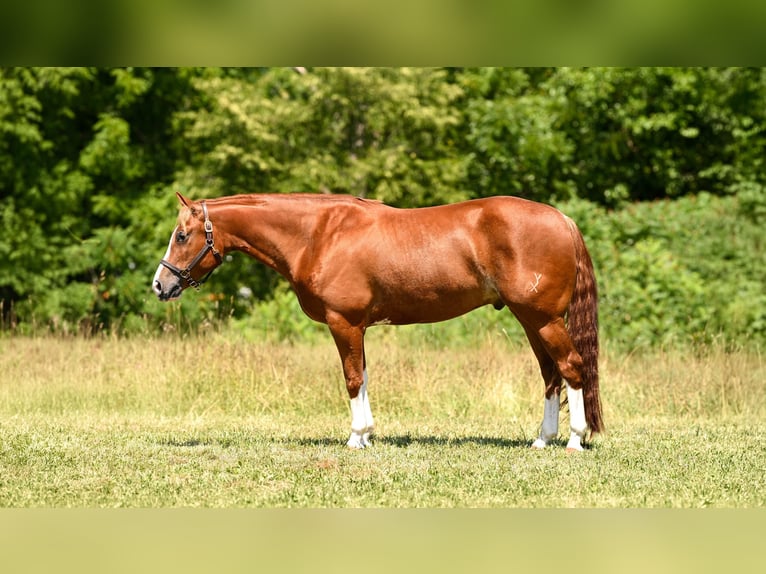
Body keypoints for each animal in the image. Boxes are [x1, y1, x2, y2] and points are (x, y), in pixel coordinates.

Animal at [152, 192, 603, 451]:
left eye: (181, 235)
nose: (160, 284)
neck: (319, 235)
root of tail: (563, 219)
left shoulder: (344, 323)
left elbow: (352, 379)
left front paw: (355, 438)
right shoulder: (357, 327)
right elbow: (365, 377)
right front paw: (367, 434)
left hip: (543, 319)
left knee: (571, 368)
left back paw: (574, 440)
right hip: (531, 320)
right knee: (550, 375)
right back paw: (542, 439)